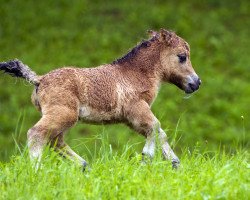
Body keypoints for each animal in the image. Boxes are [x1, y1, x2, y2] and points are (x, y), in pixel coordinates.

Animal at [0, 28, 201, 169]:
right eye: (182, 57)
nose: (196, 83)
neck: (135, 74)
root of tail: (39, 80)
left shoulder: (132, 119)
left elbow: (159, 133)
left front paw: (175, 164)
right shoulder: (137, 109)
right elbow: (156, 127)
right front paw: (146, 158)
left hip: (61, 116)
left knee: (55, 140)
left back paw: (84, 167)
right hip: (63, 114)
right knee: (37, 134)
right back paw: (37, 170)